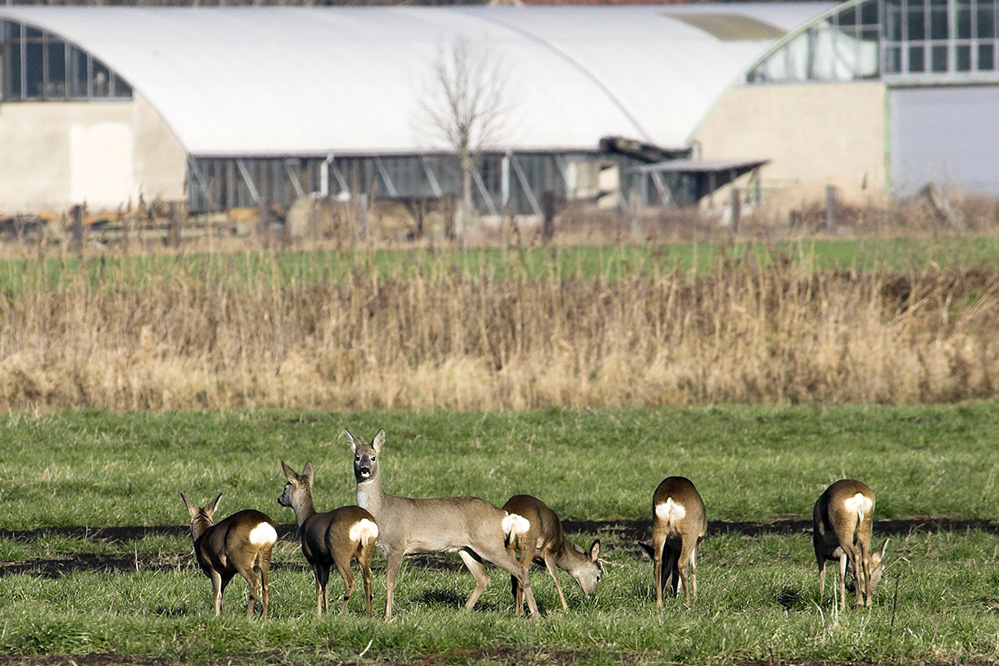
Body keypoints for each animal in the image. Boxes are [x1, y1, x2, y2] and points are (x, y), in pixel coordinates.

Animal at [278, 460, 378, 616]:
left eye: (285, 487)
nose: (279, 499)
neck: (306, 519)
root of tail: (363, 522)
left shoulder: (314, 558)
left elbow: (319, 587)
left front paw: (319, 614)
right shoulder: (326, 562)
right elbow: (326, 587)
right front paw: (326, 612)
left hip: (339, 550)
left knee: (350, 581)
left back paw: (342, 613)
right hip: (366, 550)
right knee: (367, 580)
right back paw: (368, 613)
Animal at [348, 426, 544, 616]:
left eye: (373, 457)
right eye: (357, 457)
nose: (364, 469)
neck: (382, 510)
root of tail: (502, 514)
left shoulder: (397, 547)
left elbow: (390, 583)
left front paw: (388, 616)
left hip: (489, 543)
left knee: (519, 569)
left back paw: (534, 614)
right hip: (466, 548)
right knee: (483, 577)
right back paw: (464, 610)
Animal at [640, 474, 712, 608]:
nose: (669, 591)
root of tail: (670, 500)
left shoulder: (672, 547)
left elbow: (668, 568)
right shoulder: (697, 541)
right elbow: (693, 567)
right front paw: (695, 596)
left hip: (659, 529)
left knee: (658, 561)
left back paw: (659, 603)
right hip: (689, 533)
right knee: (682, 563)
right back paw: (688, 602)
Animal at [812, 478, 892, 608]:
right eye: (881, 573)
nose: (874, 592)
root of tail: (858, 494)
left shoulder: (819, 550)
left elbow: (823, 574)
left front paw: (821, 601)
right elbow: (841, 577)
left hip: (844, 534)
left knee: (855, 556)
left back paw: (860, 602)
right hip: (866, 528)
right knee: (864, 559)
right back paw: (868, 602)